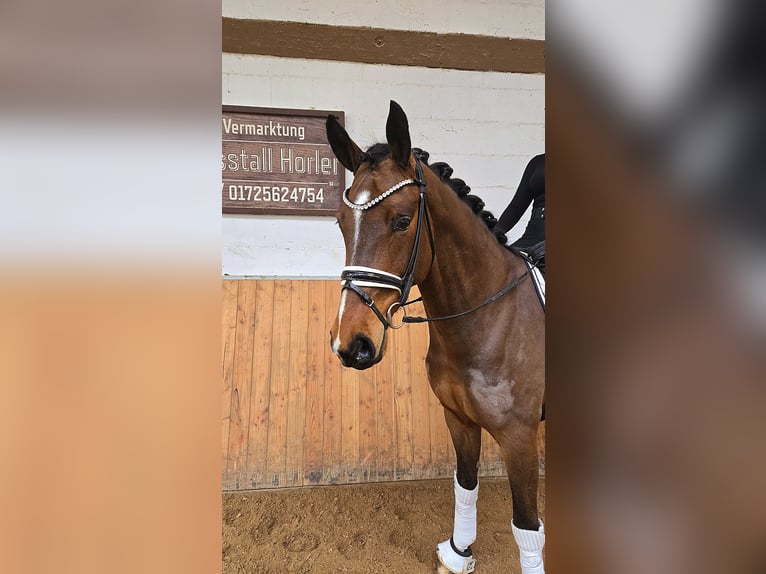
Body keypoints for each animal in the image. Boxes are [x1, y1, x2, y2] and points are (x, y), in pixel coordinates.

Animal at [328, 101, 548, 572]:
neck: (485, 323)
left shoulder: (519, 437)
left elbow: (526, 524)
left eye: (402, 221)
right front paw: (458, 553)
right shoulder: (458, 418)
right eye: (340, 223)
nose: (352, 344)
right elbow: (465, 486)